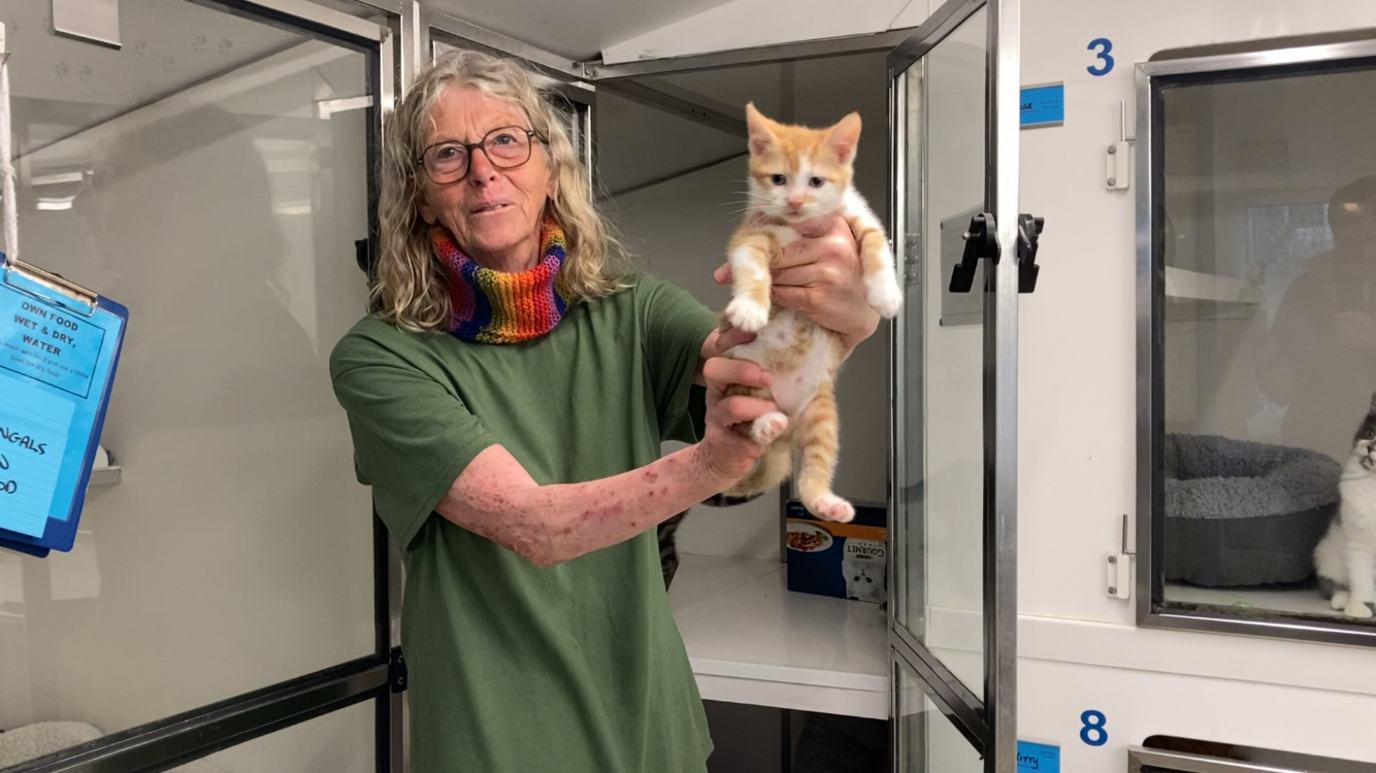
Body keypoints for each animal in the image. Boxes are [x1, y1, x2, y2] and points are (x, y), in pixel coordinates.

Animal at [721, 102, 902, 519]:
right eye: (778, 179)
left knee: (814, 466)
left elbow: (876, 245)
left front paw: (886, 294)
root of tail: (788, 428)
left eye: (816, 182)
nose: (795, 202)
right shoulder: (753, 232)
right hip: (744, 378)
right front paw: (750, 307)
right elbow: (751, 264)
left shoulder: (859, 217)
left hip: (822, 412)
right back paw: (766, 424)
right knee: (749, 422)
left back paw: (826, 502)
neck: (802, 225)